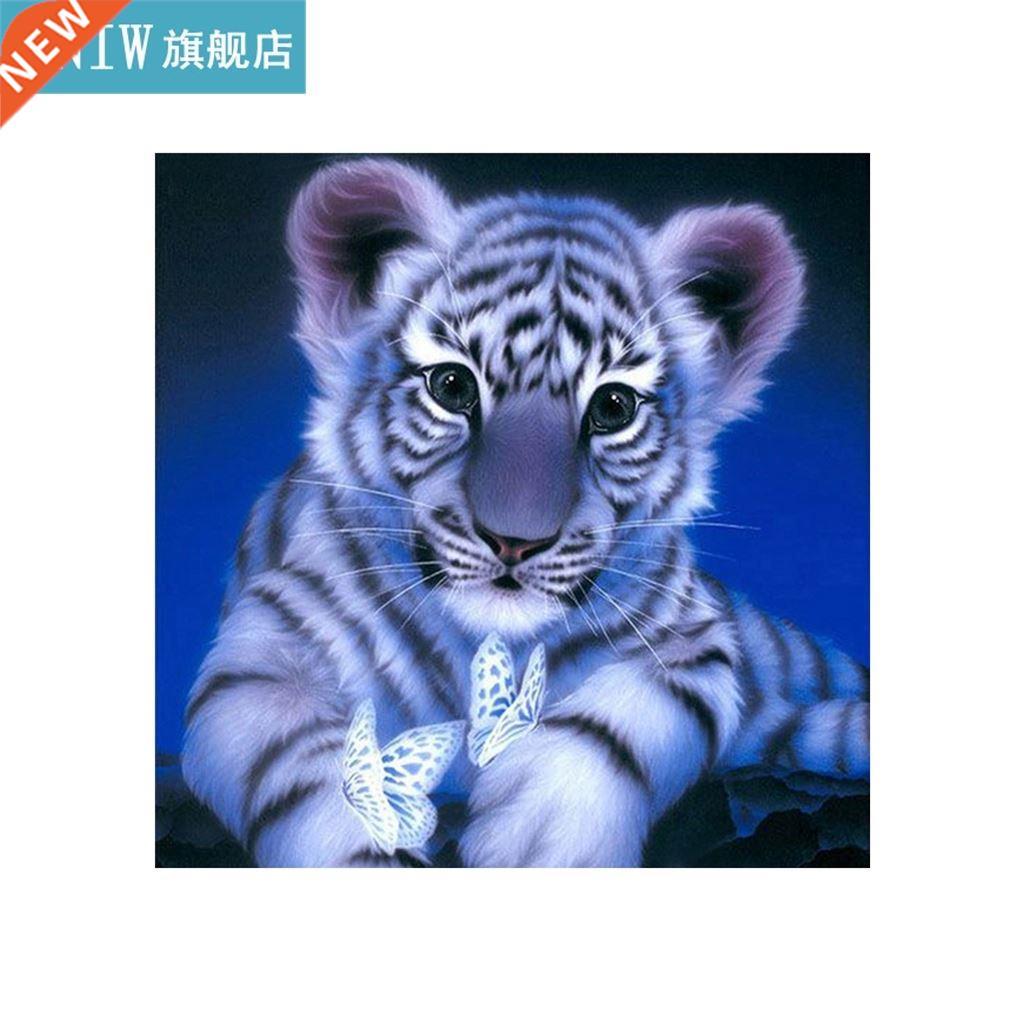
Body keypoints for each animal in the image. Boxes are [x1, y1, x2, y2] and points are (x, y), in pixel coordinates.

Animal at [181, 158, 870, 867]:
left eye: (614, 407)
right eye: (451, 386)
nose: (514, 542)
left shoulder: (695, 640)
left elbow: (622, 719)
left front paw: (543, 833)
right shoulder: (263, 652)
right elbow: (310, 768)